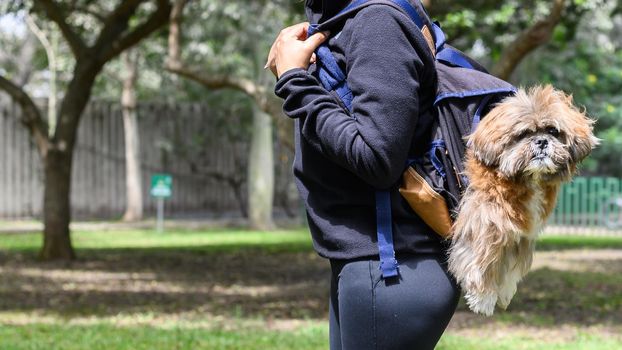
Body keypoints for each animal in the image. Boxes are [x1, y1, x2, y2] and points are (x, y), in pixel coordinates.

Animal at [448, 85, 600, 318]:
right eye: (523, 134)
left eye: (553, 131)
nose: (541, 141)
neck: (524, 179)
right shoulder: (484, 220)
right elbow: (483, 257)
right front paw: (484, 297)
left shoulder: (520, 232)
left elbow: (511, 265)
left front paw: (504, 292)